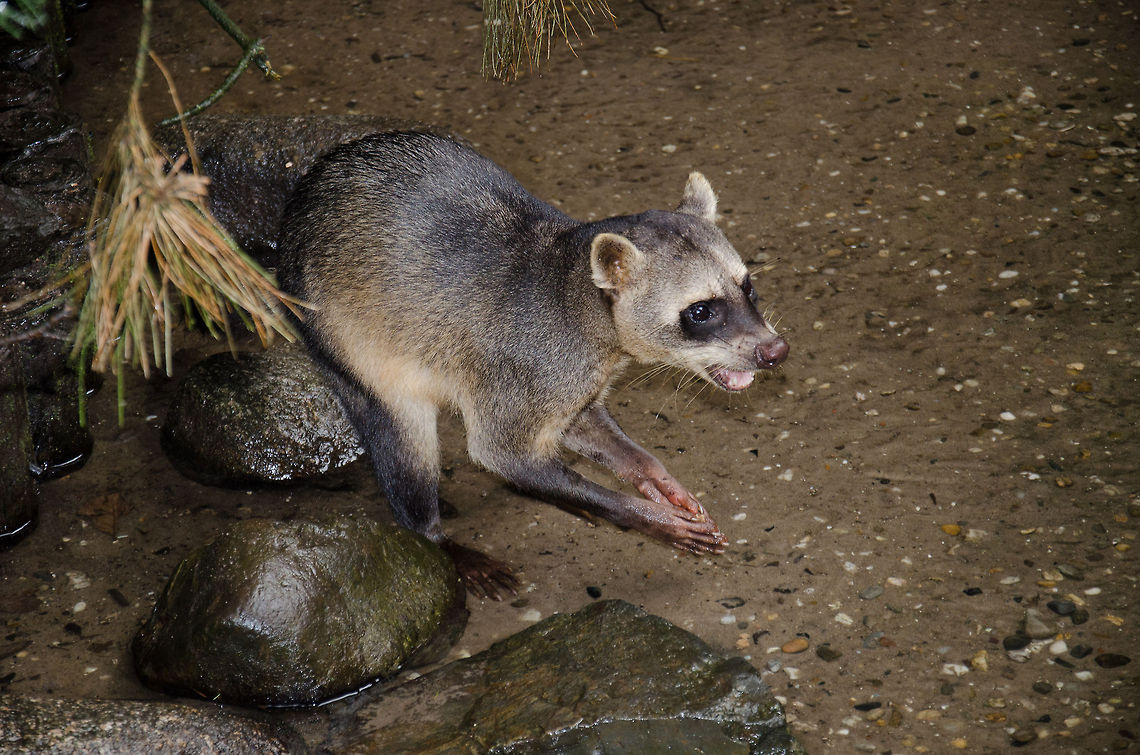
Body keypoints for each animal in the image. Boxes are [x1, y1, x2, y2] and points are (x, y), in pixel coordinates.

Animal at [276, 131, 788, 598]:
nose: (775, 350)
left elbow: (585, 424)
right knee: (401, 433)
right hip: (336, 331)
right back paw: (431, 531)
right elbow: (500, 452)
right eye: (700, 311)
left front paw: (649, 473)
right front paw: (637, 512)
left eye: (748, 287)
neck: (579, 285)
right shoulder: (529, 363)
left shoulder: (575, 378)